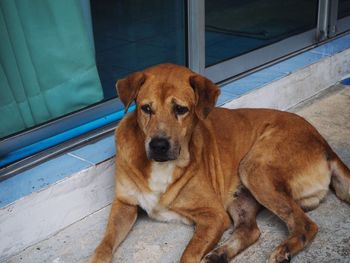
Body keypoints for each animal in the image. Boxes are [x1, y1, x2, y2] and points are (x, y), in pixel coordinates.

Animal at [91, 64, 350, 263]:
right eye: (146, 108)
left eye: (181, 109)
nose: (158, 145)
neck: (162, 166)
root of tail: (323, 142)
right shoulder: (124, 204)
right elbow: (104, 245)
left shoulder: (213, 216)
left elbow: (188, 254)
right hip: (240, 195)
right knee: (250, 230)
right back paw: (220, 254)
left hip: (254, 169)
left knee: (306, 225)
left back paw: (282, 251)